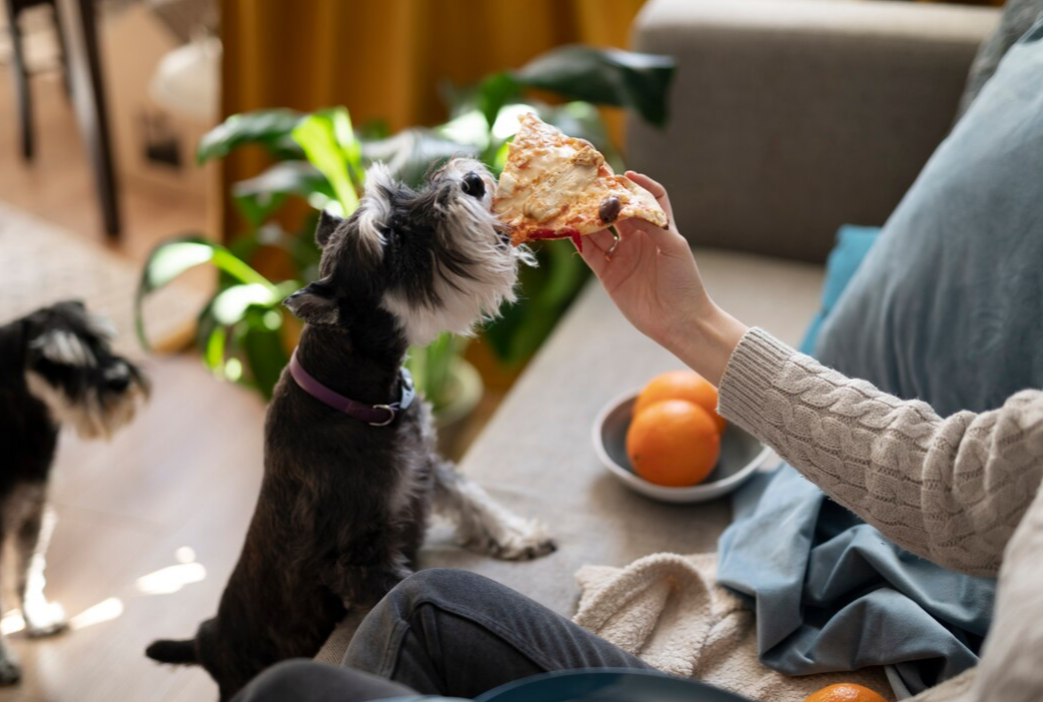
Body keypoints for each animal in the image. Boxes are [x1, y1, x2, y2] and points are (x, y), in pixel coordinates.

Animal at [0, 300, 151, 680]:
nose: (119, 380)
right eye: (56, 364)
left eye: (100, 339)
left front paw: (36, 621)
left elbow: (25, 575)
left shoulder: (33, 513)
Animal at [147, 158, 559, 700]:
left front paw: (517, 535)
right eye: (393, 239)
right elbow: (400, 584)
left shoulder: (426, 467)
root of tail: (206, 640)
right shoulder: (359, 558)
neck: (360, 399)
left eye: (399, 191)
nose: (471, 181)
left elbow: (472, 499)